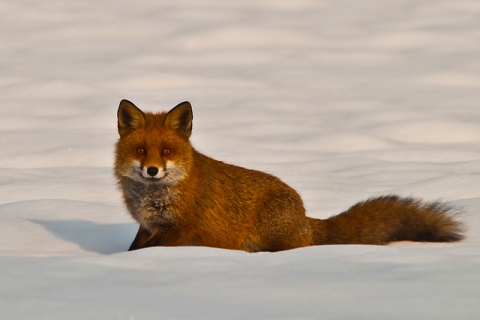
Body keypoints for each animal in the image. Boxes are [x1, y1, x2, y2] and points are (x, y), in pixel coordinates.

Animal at [115, 100, 464, 252]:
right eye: (142, 150)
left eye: (167, 151)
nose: (152, 170)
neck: (155, 196)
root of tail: (305, 216)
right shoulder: (148, 226)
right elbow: (133, 249)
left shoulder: (178, 227)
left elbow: (145, 251)